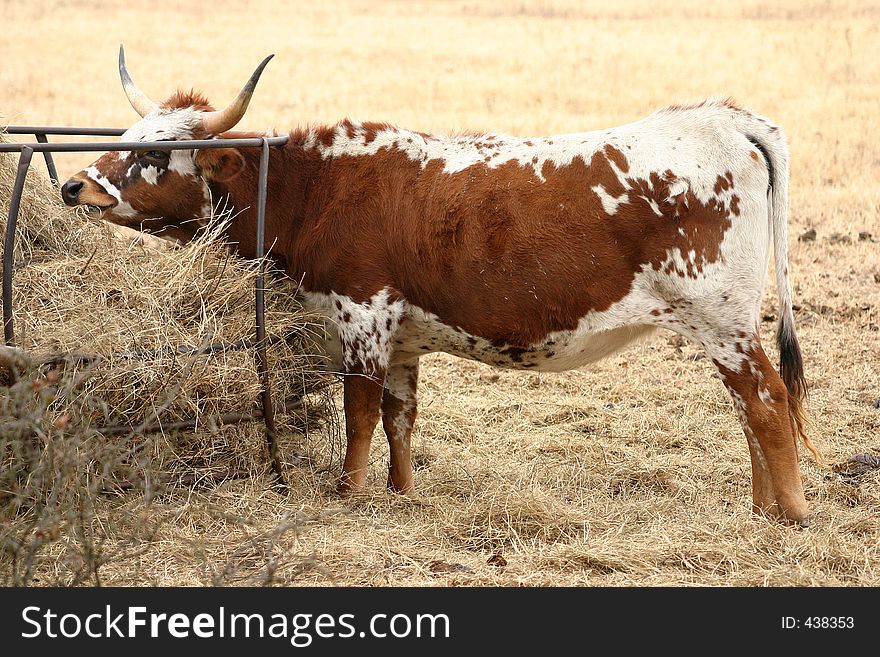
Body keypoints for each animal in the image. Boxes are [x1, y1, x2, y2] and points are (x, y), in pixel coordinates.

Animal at [63, 47, 824, 524]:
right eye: (127, 132)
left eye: (160, 151)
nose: (76, 186)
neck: (316, 189)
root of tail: (719, 118)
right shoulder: (402, 339)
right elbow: (400, 416)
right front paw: (400, 491)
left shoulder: (362, 315)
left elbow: (360, 412)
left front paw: (348, 493)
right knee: (750, 407)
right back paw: (762, 504)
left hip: (723, 321)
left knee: (766, 401)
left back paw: (787, 513)